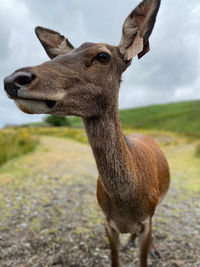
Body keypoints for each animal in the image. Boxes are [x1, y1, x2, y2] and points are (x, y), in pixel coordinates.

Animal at [3, 0, 170, 266]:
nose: (14, 79)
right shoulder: (107, 223)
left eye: (103, 55)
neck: (125, 208)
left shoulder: (147, 219)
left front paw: (149, 251)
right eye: (59, 56)